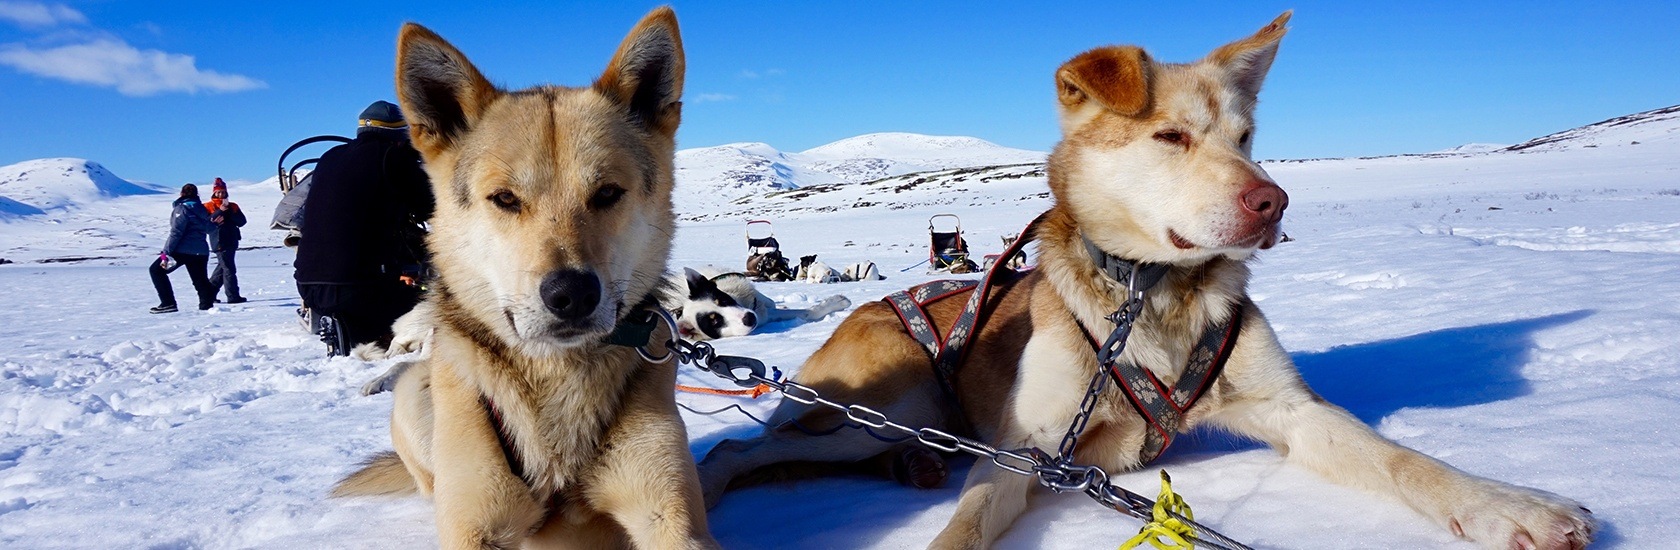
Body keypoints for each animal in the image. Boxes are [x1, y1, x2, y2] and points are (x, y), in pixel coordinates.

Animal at [330, 8, 719, 550]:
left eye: (607, 193)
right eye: (505, 198)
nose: (572, 294)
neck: (555, 374)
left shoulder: (670, 518)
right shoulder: (475, 525)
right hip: (415, 393)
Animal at [695, 12, 1585, 550]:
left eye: (1245, 136)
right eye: (1170, 136)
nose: (1274, 200)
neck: (1146, 296)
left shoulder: (1293, 412)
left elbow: (1406, 462)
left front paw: (1512, 506)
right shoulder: (1023, 449)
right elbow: (968, 526)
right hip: (879, 410)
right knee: (745, 446)